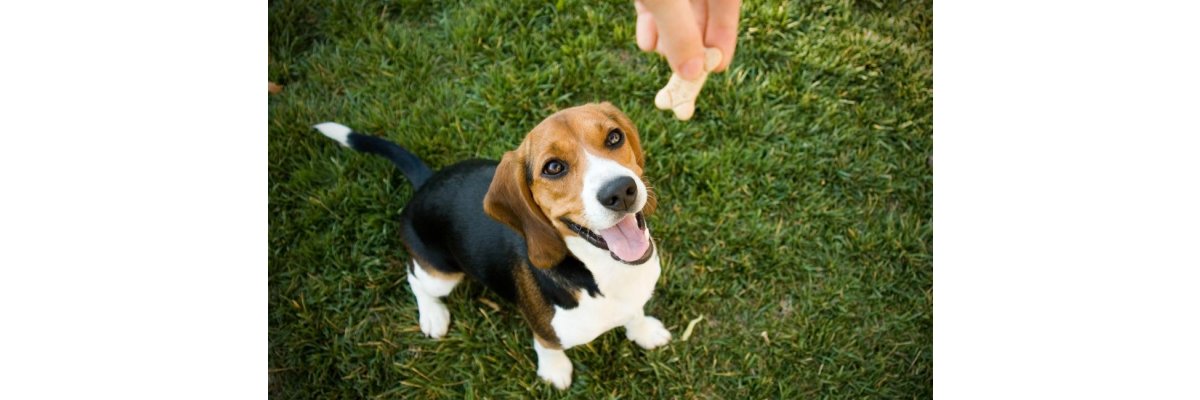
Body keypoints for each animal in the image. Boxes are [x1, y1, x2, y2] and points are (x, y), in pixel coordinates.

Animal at [314, 101, 672, 386]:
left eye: (614, 137)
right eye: (553, 167)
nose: (620, 191)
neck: (603, 270)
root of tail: (426, 182)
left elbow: (635, 314)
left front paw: (644, 331)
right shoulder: (545, 330)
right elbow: (547, 346)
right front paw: (555, 371)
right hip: (441, 275)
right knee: (414, 277)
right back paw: (432, 314)